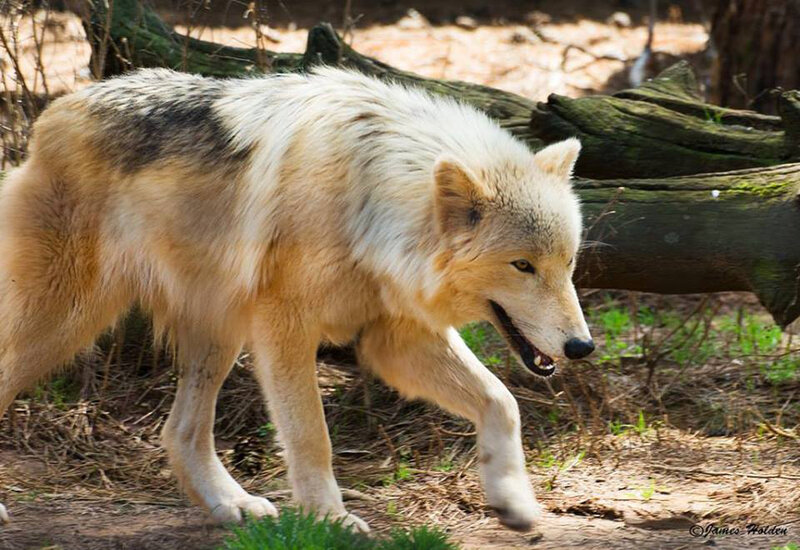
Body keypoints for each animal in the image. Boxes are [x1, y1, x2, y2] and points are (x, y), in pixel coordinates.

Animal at [0, 67, 594, 531]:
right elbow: (312, 436)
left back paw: (232, 504)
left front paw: (513, 501)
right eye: (522, 266)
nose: (582, 347)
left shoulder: (396, 340)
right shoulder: (285, 329)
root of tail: (54, 111)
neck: (369, 201)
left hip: (218, 331)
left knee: (180, 432)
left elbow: (502, 401)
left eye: (566, 264)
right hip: (65, 321)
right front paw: (331, 519)